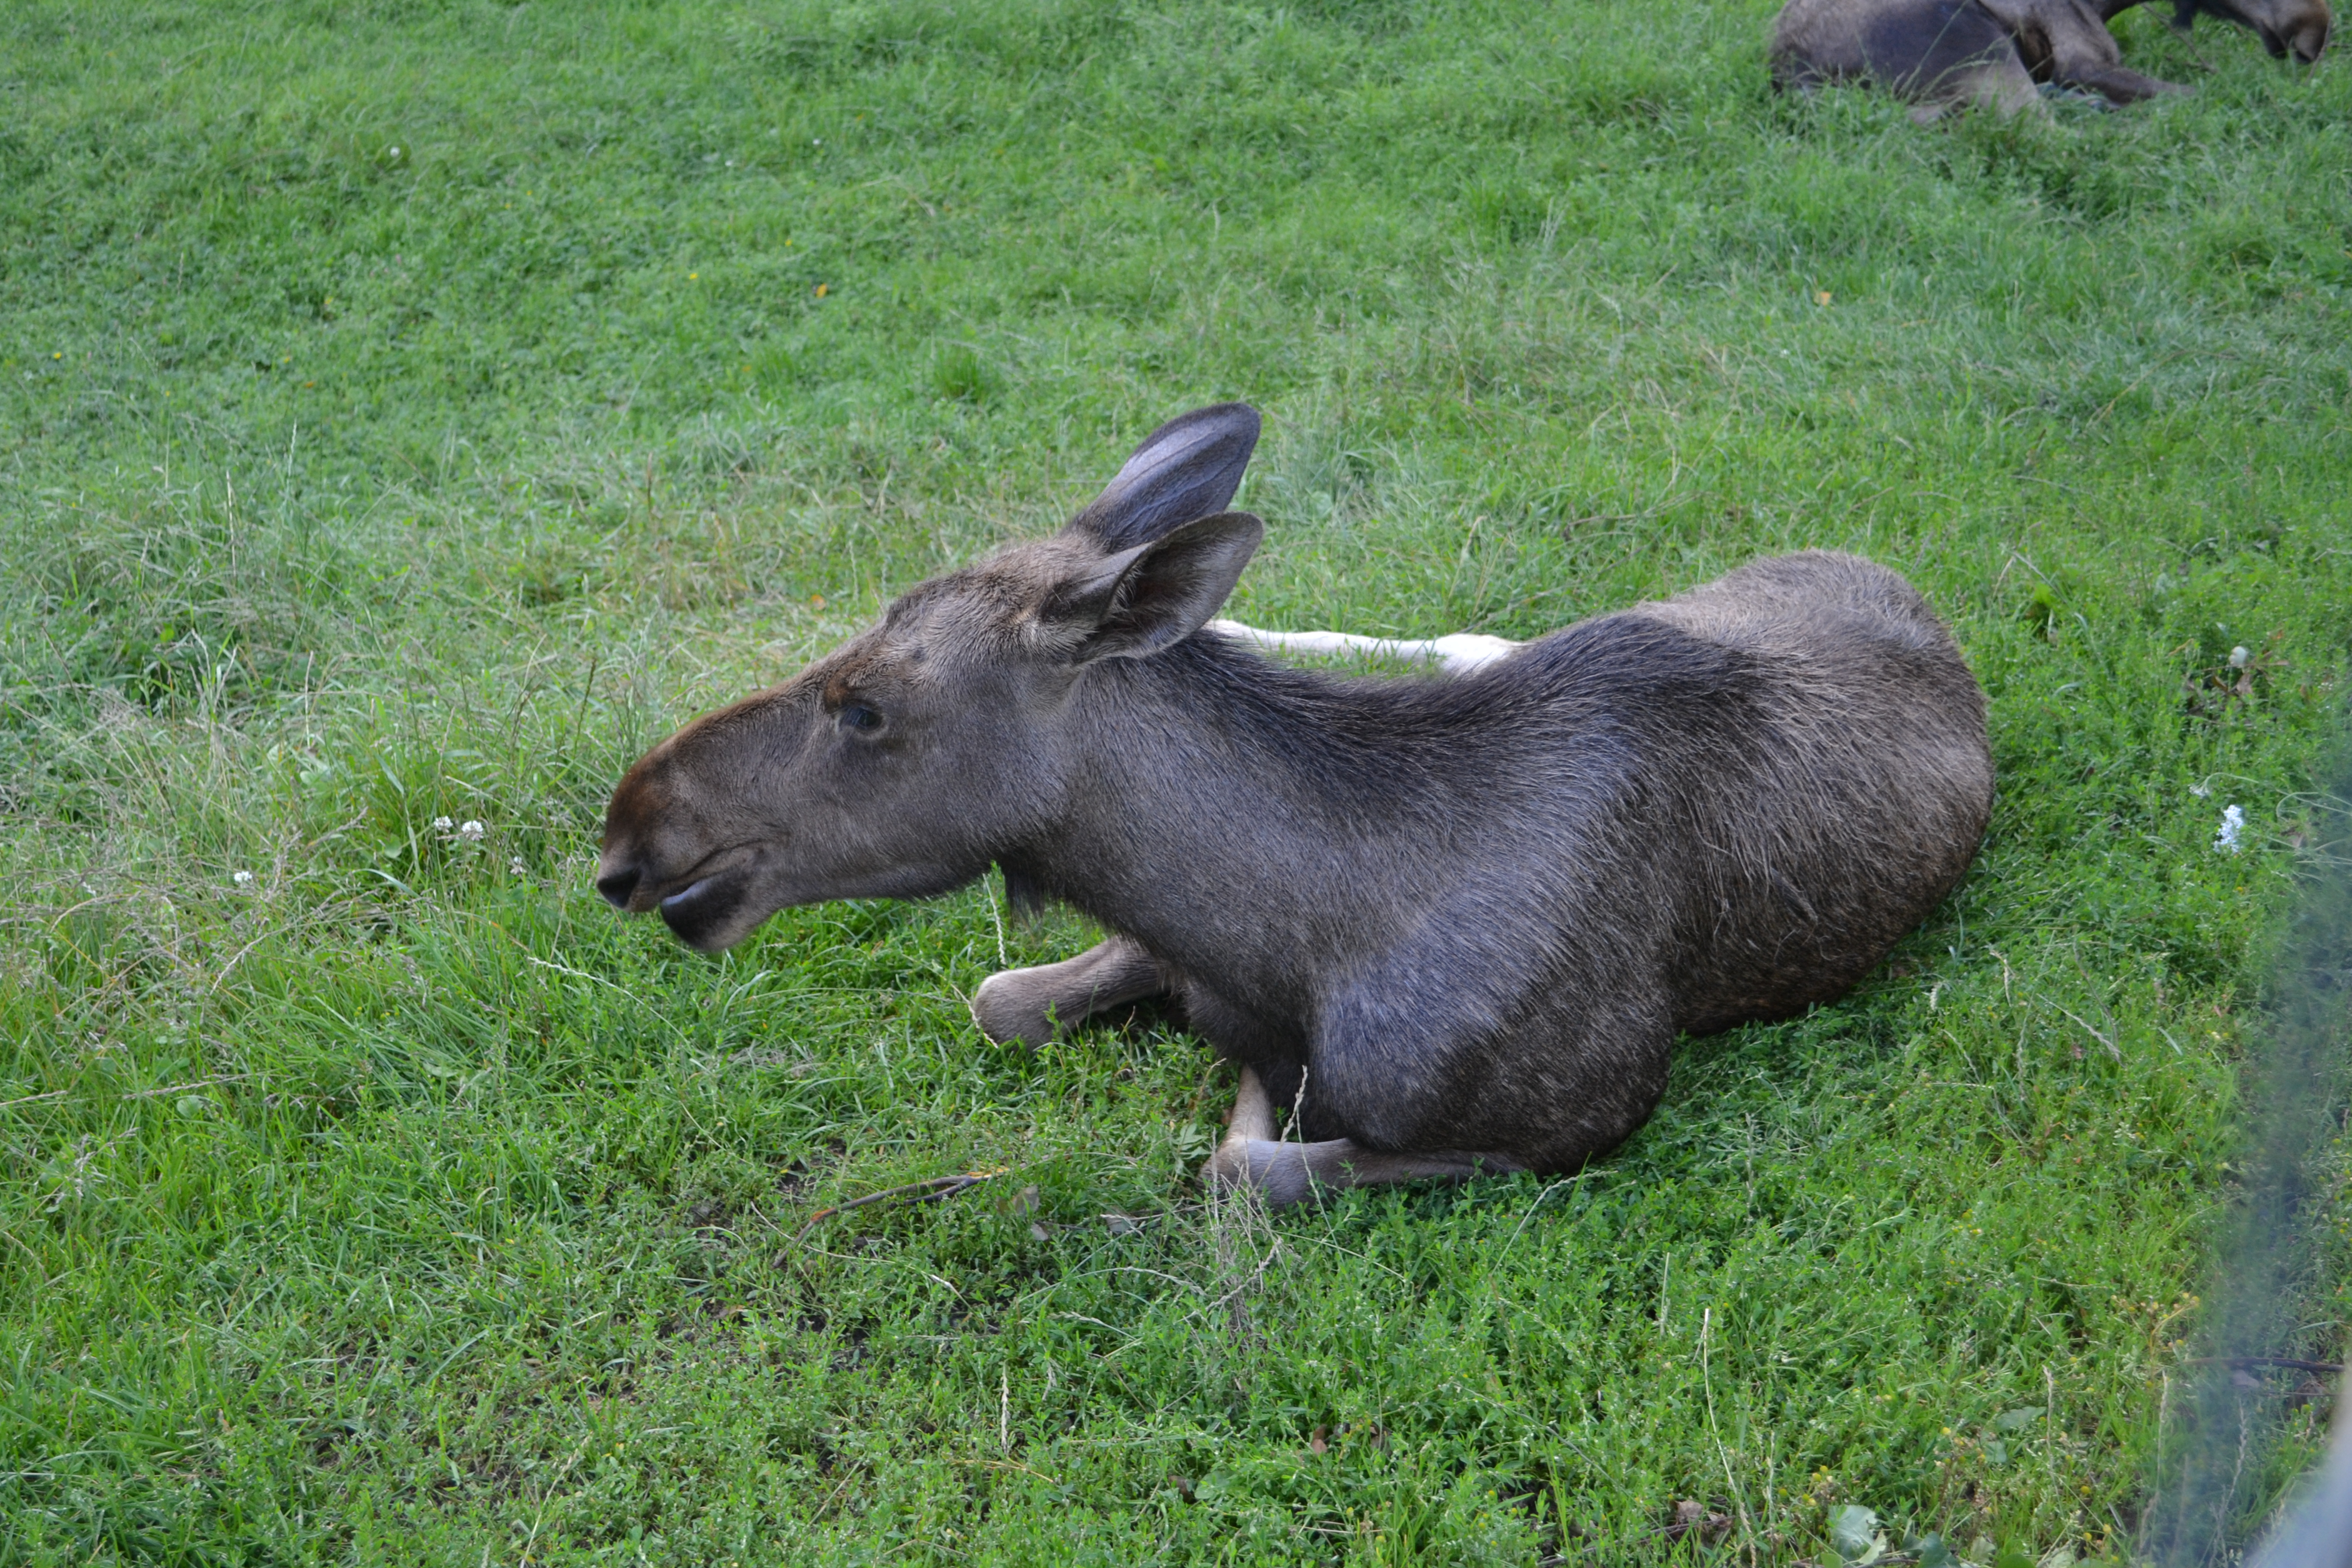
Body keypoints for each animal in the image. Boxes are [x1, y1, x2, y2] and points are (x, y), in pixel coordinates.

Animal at [597, 411, 1994, 1213]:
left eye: (867, 708)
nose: (627, 830)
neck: (1295, 930)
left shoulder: (1595, 1114)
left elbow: (1250, 1160)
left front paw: (1251, 1091)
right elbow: (1002, 999)